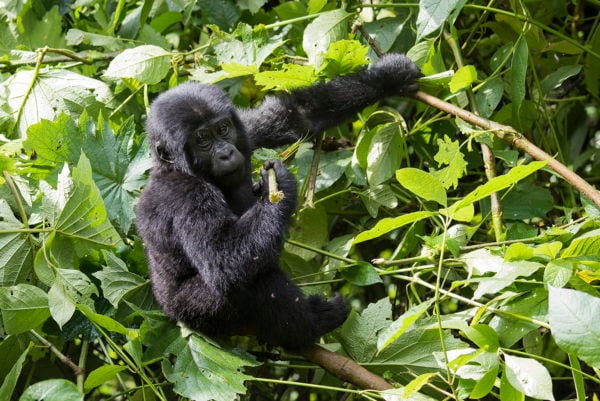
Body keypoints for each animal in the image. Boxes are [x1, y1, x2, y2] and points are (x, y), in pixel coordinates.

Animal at [135, 53, 422, 346]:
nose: (226, 153)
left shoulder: (245, 131)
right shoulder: (187, 195)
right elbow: (222, 259)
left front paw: (387, 76)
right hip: (193, 313)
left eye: (223, 129)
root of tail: (168, 311)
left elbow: (296, 117)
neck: (175, 167)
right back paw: (312, 326)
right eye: (202, 139)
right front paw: (279, 187)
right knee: (254, 279)